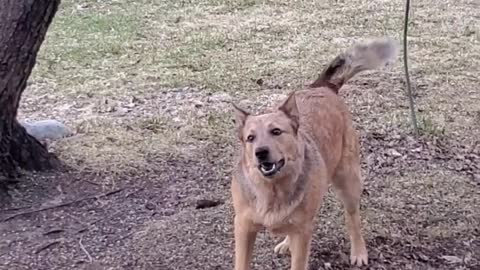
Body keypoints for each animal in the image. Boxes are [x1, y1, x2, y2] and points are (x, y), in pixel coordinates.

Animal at [231, 37, 400, 268]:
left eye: (276, 131)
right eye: (250, 138)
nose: (261, 152)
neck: (273, 190)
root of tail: (323, 87)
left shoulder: (303, 233)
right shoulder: (243, 227)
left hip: (348, 181)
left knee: (353, 218)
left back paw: (358, 251)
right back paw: (286, 242)